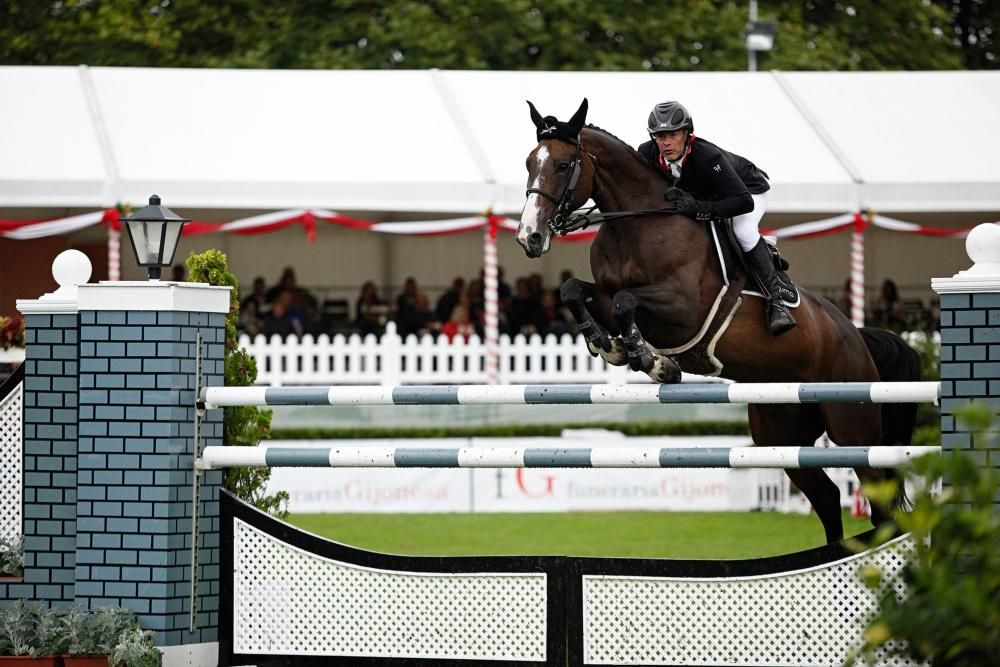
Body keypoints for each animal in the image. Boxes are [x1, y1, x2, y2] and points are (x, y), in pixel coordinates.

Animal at [520, 100, 916, 548]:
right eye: (529, 163)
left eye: (563, 164)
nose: (529, 237)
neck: (636, 222)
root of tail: (856, 336)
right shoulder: (603, 293)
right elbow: (574, 291)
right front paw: (610, 346)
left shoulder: (683, 308)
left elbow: (625, 303)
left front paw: (654, 363)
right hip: (781, 435)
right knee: (828, 497)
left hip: (852, 426)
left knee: (879, 504)